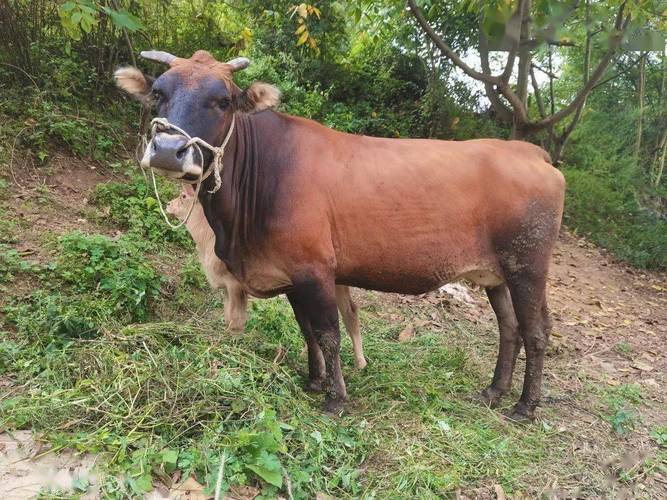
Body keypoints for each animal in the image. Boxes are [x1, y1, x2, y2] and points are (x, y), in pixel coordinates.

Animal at [115, 50, 564, 420]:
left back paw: (525, 407)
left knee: (536, 330)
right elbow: (307, 330)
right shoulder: (290, 273)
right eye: (158, 93)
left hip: (527, 267)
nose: (167, 149)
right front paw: (314, 381)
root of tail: (529, 152)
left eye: (223, 100)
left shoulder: (315, 270)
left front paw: (335, 398)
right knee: (510, 329)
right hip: (497, 274)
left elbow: (329, 334)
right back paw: (494, 391)